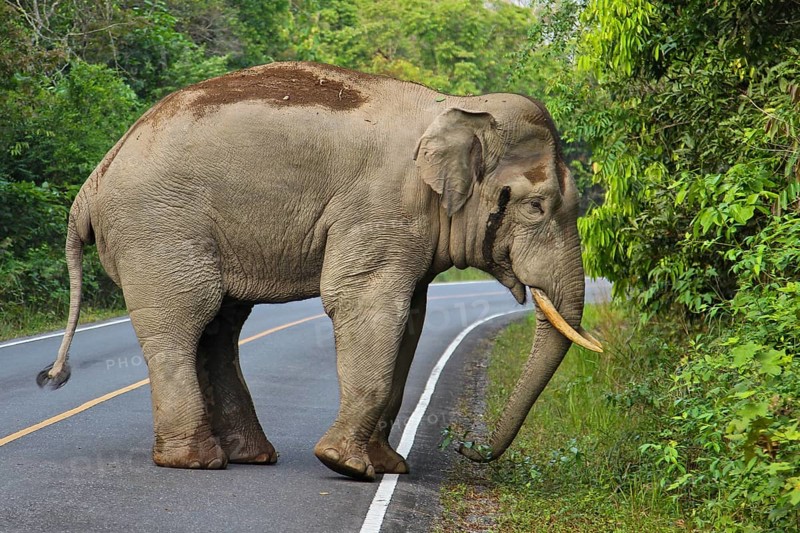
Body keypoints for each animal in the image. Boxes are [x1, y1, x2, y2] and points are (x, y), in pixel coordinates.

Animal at [38, 61, 602, 481]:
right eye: (536, 207)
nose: (466, 446)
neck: (455, 106)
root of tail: (93, 179)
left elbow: (412, 319)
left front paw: (389, 467)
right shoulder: (380, 205)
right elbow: (368, 304)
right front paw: (347, 467)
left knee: (220, 325)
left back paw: (250, 456)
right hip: (158, 228)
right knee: (185, 319)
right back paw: (196, 462)